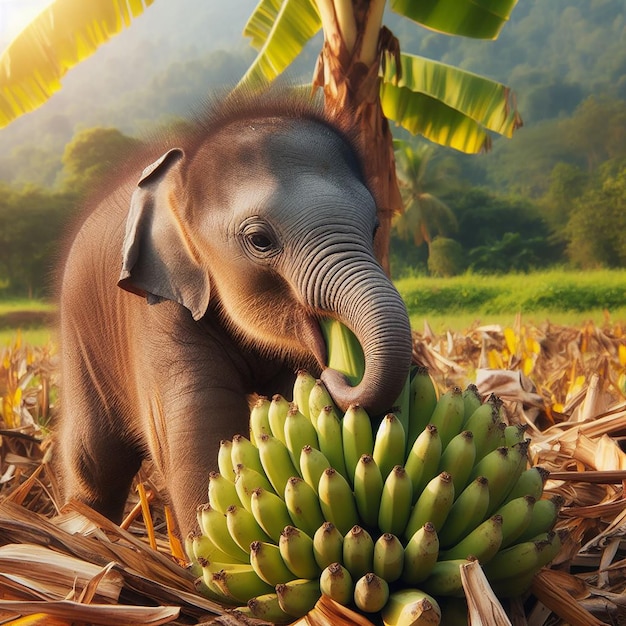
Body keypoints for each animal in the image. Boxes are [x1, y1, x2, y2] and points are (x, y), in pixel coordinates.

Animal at [54, 89, 414, 536]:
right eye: (260, 240)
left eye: (375, 228)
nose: (339, 373)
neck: (182, 172)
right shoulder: (161, 310)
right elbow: (199, 441)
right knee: (94, 458)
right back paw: (78, 530)